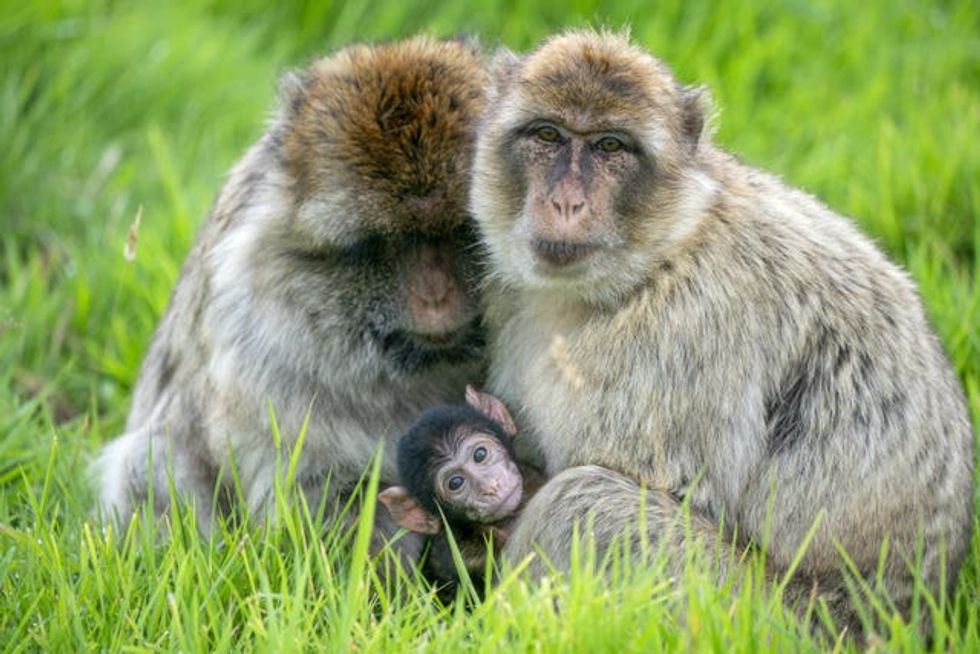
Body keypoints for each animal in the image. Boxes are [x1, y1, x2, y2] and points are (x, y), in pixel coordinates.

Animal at [469, 30, 974, 634]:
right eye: (548, 134)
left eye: (610, 147)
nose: (566, 202)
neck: (657, 256)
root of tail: (913, 613)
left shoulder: (678, 336)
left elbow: (678, 492)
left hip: (760, 614)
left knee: (582, 501)